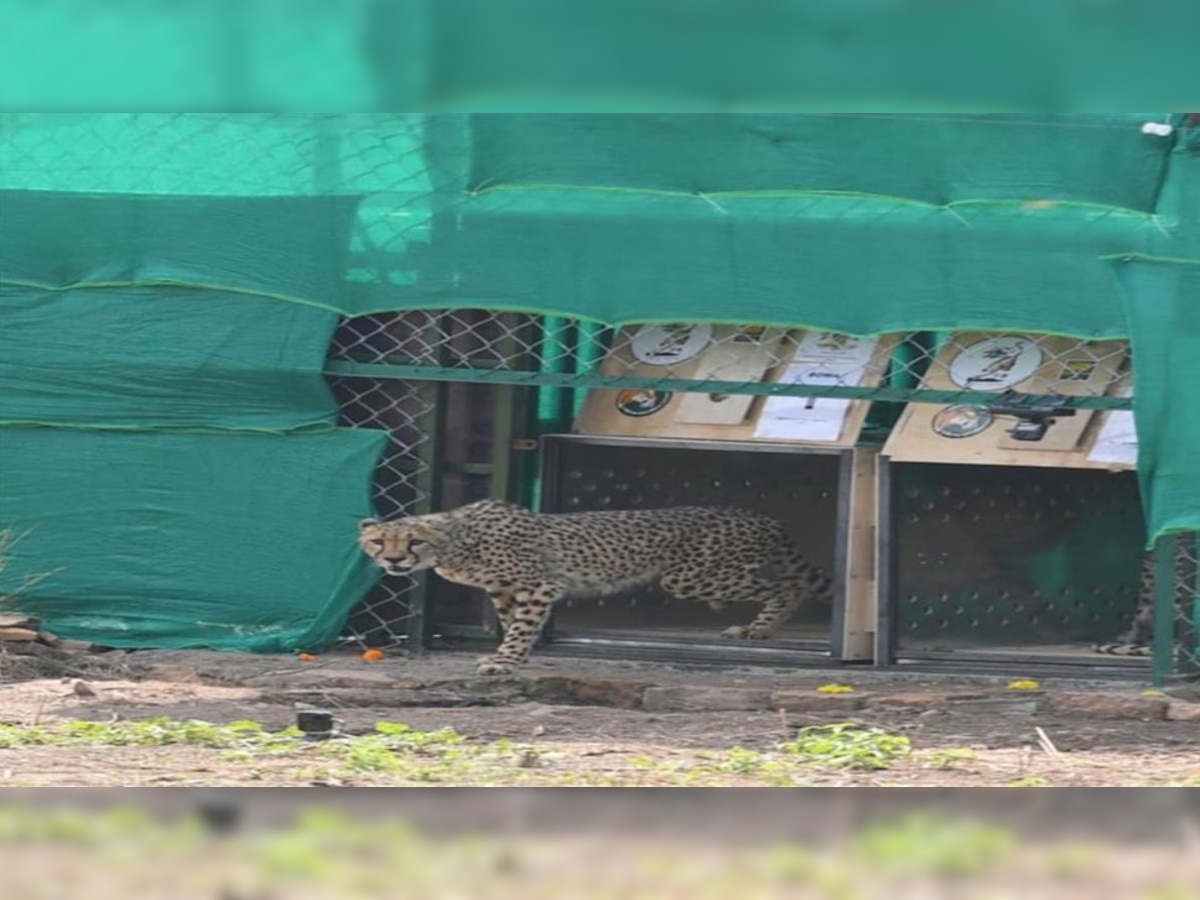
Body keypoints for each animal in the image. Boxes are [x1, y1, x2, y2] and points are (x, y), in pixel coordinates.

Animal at [355, 501, 835, 676]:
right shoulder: (506, 591)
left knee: (786, 586)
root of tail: (761, 516)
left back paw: (760, 628)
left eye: (414, 541)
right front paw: (514, 657)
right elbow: (514, 624)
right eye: (380, 541)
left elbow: (521, 627)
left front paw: (505, 661)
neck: (458, 540)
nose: (394, 561)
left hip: (693, 577)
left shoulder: (538, 585)